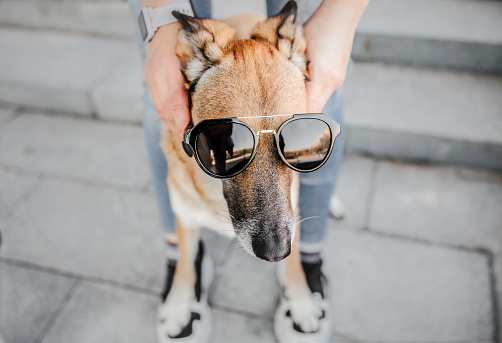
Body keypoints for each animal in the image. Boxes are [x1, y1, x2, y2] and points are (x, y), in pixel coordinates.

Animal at [157, 1, 340, 342]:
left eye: (293, 137)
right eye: (220, 137)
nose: (275, 252)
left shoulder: (291, 212)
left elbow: (296, 264)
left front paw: (301, 302)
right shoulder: (184, 217)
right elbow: (186, 265)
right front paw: (178, 306)